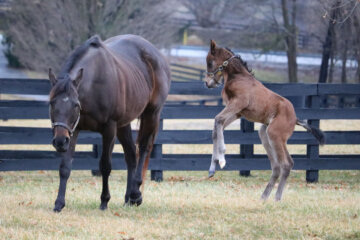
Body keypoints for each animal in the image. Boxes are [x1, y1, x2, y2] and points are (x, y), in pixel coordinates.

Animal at [48, 34, 171, 212]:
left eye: (75, 105)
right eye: (51, 103)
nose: (59, 141)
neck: (93, 86)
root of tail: (159, 56)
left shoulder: (109, 129)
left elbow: (105, 165)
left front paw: (104, 201)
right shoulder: (74, 129)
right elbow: (65, 166)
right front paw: (59, 203)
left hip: (151, 114)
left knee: (143, 148)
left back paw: (136, 194)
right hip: (123, 124)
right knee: (131, 155)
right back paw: (128, 198)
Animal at [204, 40, 324, 202]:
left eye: (210, 62)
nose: (208, 83)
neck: (239, 77)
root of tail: (295, 118)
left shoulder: (238, 103)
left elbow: (218, 120)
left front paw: (222, 159)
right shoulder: (238, 112)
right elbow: (217, 128)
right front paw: (212, 168)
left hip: (275, 134)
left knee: (286, 164)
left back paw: (277, 199)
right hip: (265, 133)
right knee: (278, 165)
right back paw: (264, 197)